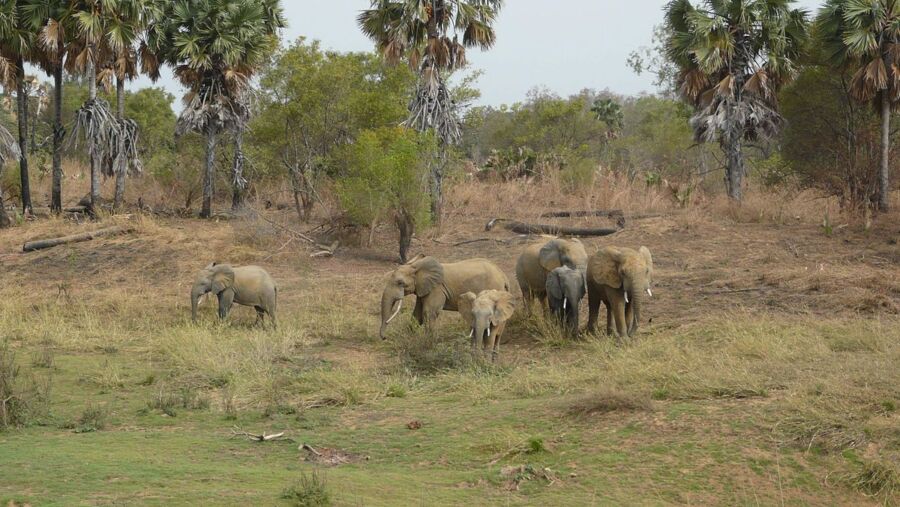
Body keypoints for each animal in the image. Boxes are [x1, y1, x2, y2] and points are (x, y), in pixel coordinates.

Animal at [376, 254, 510, 342]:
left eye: (400, 283)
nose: (385, 337)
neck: (416, 266)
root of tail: (504, 276)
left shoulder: (437, 288)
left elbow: (429, 313)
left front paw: (429, 343)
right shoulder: (423, 289)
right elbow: (417, 315)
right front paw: (409, 339)